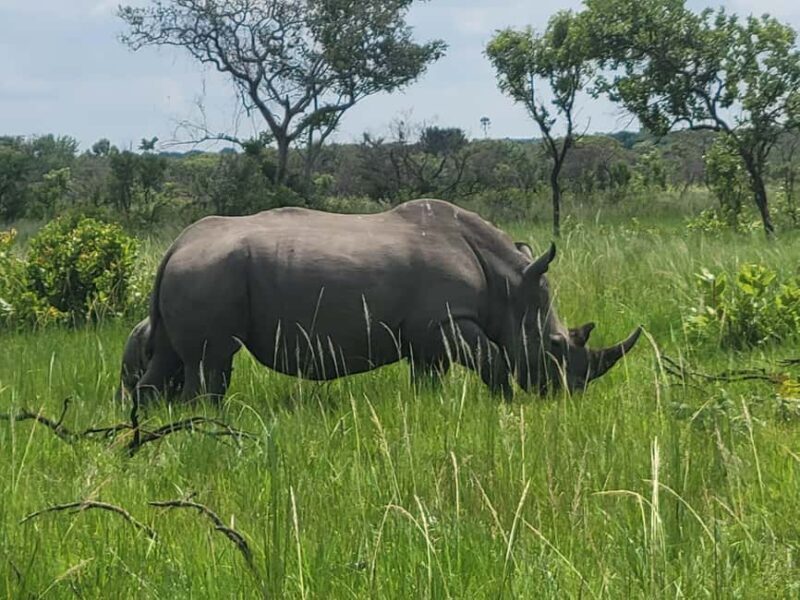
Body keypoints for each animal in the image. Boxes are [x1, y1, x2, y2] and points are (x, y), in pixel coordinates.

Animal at [133, 199, 640, 402]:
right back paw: (205, 421)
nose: (569, 394)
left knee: (171, 359)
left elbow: (429, 377)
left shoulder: (426, 334)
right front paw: (505, 404)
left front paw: (432, 408)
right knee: (210, 360)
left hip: (196, 273)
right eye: (555, 346)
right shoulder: (446, 321)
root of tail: (174, 247)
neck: (510, 284)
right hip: (208, 273)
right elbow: (493, 360)